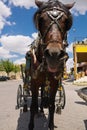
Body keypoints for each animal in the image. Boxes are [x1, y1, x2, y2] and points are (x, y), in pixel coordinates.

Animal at [28, 0, 75, 129]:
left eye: (66, 21)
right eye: (41, 20)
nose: (54, 54)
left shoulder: (54, 83)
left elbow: (52, 105)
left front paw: (51, 125)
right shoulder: (34, 82)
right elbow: (32, 106)